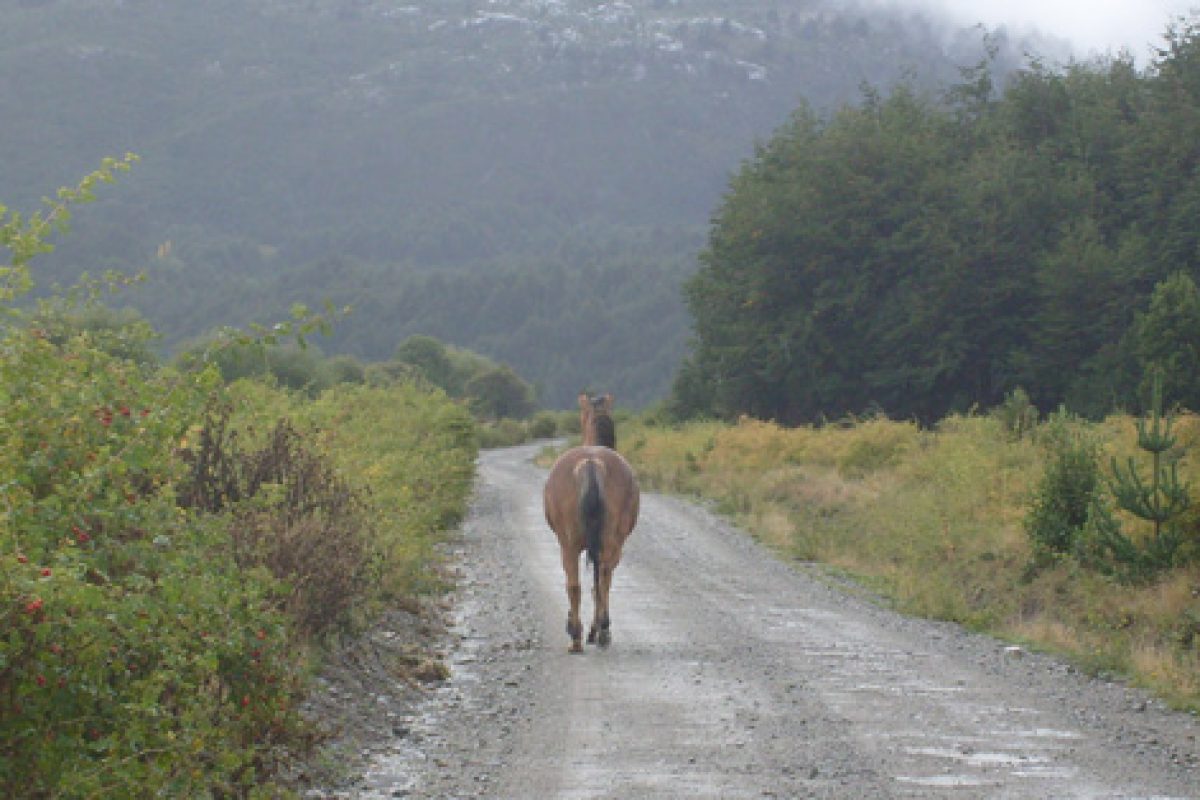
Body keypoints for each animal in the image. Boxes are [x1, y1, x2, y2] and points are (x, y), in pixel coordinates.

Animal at [542, 393, 638, 652]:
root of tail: (590, 462)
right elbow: (600, 581)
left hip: (569, 544)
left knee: (576, 584)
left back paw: (578, 635)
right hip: (609, 543)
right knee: (601, 577)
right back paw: (600, 630)